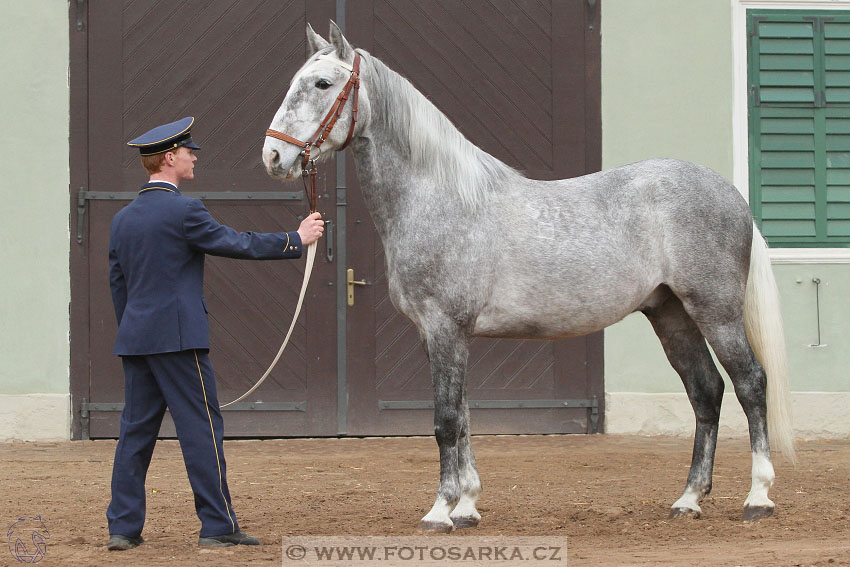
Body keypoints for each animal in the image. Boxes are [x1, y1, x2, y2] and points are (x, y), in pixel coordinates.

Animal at [262, 21, 792, 528]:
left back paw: (759, 497)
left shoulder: (445, 328)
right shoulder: (445, 336)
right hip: (671, 314)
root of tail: (732, 194)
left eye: (323, 83)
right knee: (706, 391)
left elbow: (446, 420)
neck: (441, 199)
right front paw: (467, 507)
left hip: (716, 312)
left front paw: (440, 511)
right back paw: (688, 500)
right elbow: (465, 417)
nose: (273, 157)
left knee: (750, 383)